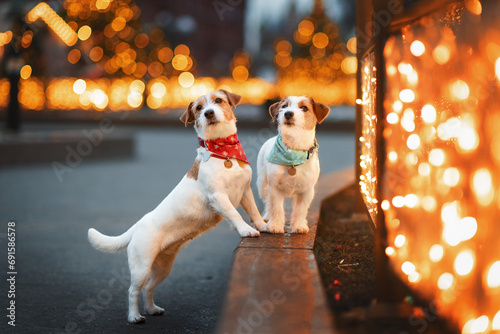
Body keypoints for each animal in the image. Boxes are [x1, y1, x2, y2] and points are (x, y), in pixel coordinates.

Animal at [88, 90, 266, 322]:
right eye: (199, 108)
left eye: (218, 100)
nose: (209, 113)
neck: (224, 152)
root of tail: (137, 225)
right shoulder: (218, 197)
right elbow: (235, 215)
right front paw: (246, 230)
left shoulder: (245, 192)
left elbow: (254, 211)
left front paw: (264, 226)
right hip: (141, 266)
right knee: (133, 291)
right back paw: (134, 316)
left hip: (163, 267)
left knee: (148, 289)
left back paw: (152, 309)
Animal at [258, 95, 328, 234]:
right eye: (284, 106)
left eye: (304, 108)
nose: (288, 113)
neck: (293, 152)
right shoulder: (274, 187)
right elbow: (276, 207)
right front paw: (275, 225)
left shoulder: (307, 191)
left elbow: (301, 210)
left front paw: (299, 226)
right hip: (263, 184)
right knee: (267, 201)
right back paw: (268, 217)